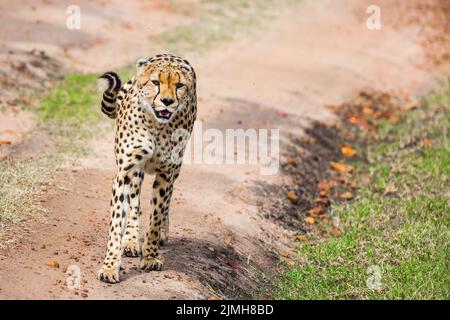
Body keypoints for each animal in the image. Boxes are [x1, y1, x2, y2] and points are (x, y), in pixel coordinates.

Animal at [96, 53, 196, 284]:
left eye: (179, 85)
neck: (156, 125)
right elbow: (117, 221)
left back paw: (161, 234)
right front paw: (110, 266)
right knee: (135, 204)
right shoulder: (126, 171)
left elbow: (157, 214)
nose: (167, 101)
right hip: (136, 173)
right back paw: (131, 241)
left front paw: (150, 256)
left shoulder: (167, 173)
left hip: (175, 169)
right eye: (155, 82)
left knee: (166, 203)